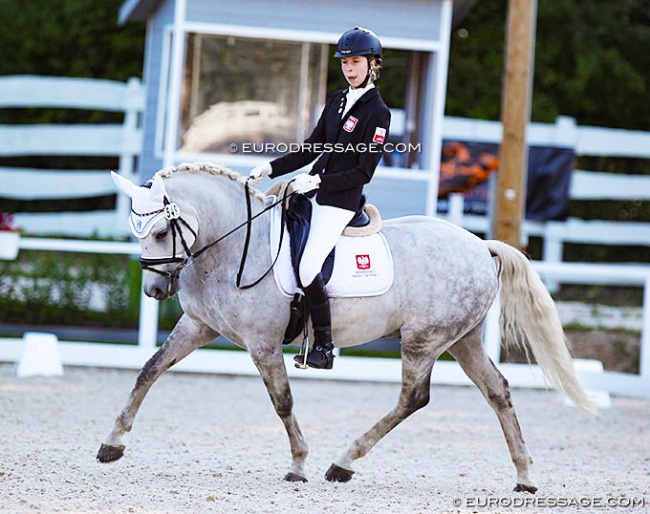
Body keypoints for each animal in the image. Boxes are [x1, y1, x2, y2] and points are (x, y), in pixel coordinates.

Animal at [100, 162, 592, 490]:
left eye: (160, 232)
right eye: (137, 231)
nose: (154, 290)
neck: (234, 243)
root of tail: (479, 245)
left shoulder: (263, 344)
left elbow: (282, 402)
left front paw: (298, 465)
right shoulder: (198, 326)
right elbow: (149, 370)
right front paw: (112, 443)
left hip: (424, 340)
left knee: (413, 398)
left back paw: (342, 463)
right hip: (464, 339)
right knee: (497, 392)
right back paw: (524, 476)